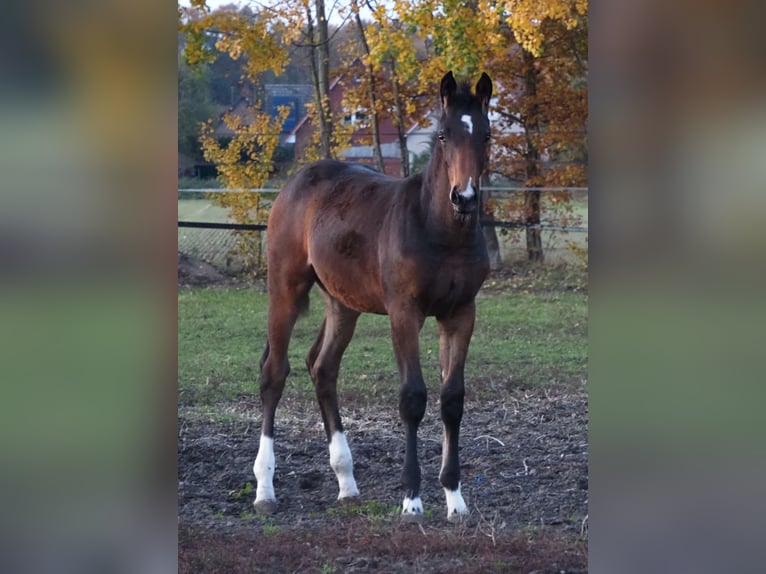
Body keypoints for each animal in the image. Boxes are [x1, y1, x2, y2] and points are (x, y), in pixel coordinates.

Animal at [253, 71, 493, 523]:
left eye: (486, 135)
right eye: (443, 135)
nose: (465, 197)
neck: (439, 230)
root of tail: (296, 181)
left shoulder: (460, 313)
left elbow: (452, 398)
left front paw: (455, 499)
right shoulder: (404, 312)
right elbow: (413, 397)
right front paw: (412, 499)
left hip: (343, 303)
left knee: (323, 368)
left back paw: (346, 482)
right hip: (285, 287)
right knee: (274, 372)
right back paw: (264, 488)